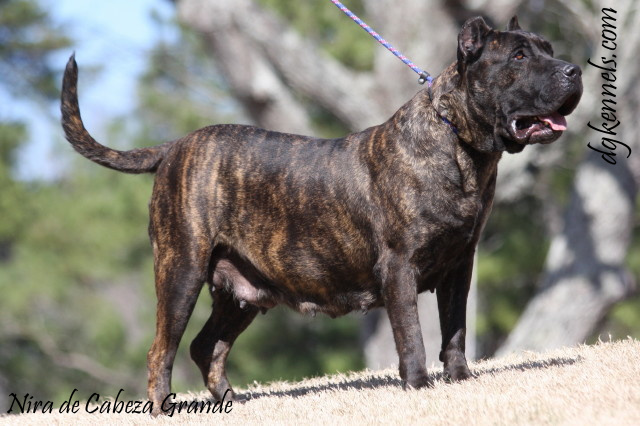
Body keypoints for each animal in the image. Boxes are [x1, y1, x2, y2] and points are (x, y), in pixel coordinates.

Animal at [62, 16, 584, 412]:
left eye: (547, 48)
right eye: (519, 57)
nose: (574, 70)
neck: (458, 141)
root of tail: (174, 147)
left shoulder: (460, 264)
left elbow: (454, 329)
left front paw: (459, 380)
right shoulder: (399, 267)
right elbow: (412, 335)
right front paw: (418, 386)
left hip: (241, 294)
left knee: (206, 345)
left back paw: (231, 401)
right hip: (181, 271)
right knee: (162, 350)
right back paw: (163, 407)